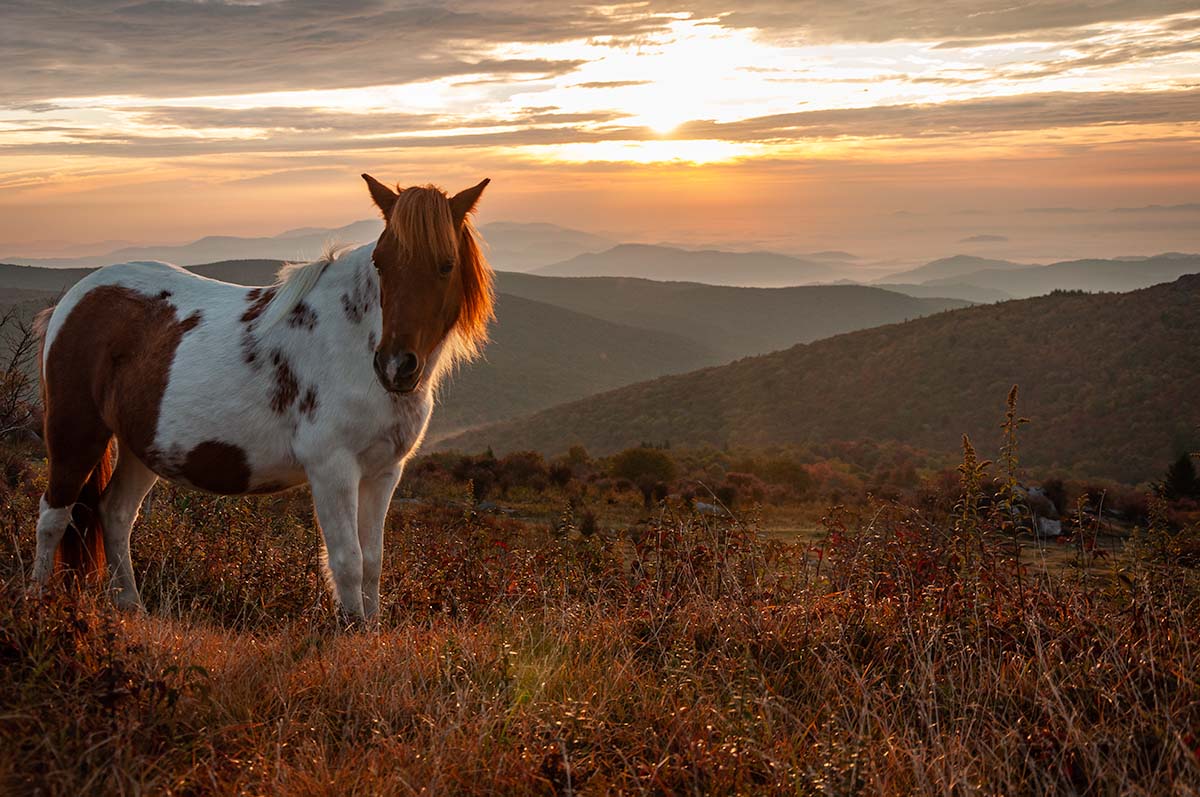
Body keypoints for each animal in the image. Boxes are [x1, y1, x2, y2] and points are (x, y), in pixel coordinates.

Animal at [31, 174, 492, 624]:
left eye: (446, 265)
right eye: (381, 262)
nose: (395, 366)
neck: (354, 341)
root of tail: (76, 297)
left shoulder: (383, 473)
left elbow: (373, 563)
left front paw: (369, 631)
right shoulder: (333, 468)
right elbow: (348, 561)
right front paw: (350, 631)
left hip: (140, 447)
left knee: (115, 513)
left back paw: (131, 606)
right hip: (76, 431)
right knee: (53, 515)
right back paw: (36, 599)